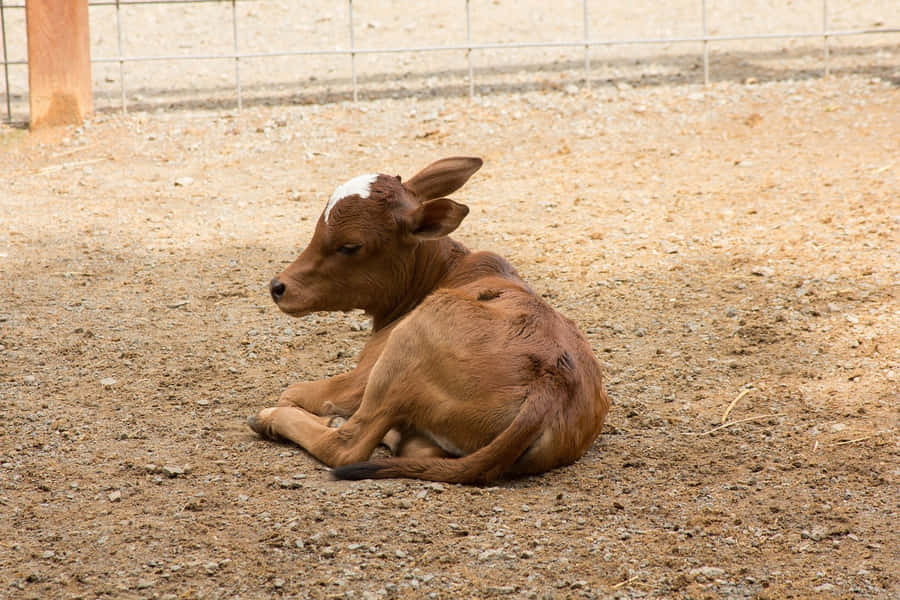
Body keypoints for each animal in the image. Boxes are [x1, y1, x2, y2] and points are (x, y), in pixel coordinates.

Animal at [248, 157, 610, 483]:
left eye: (350, 245)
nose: (279, 287)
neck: (445, 272)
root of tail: (550, 388)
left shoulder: (360, 380)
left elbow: (293, 392)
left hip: (404, 351)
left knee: (346, 446)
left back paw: (276, 420)